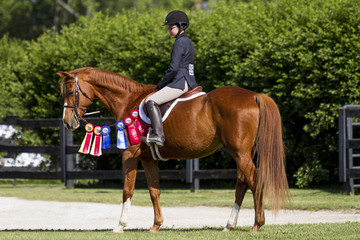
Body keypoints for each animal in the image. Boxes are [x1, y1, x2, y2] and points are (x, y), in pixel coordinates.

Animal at [59, 67, 290, 232]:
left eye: (70, 91)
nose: (68, 122)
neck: (128, 101)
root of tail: (254, 95)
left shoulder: (130, 154)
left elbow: (127, 189)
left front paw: (120, 226)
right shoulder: (148, 159)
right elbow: (154, 190)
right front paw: (156, 226)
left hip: (240, 153)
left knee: (254, 181)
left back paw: (256, 225)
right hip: (241, 153)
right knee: (242, 183)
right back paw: (229, 225)